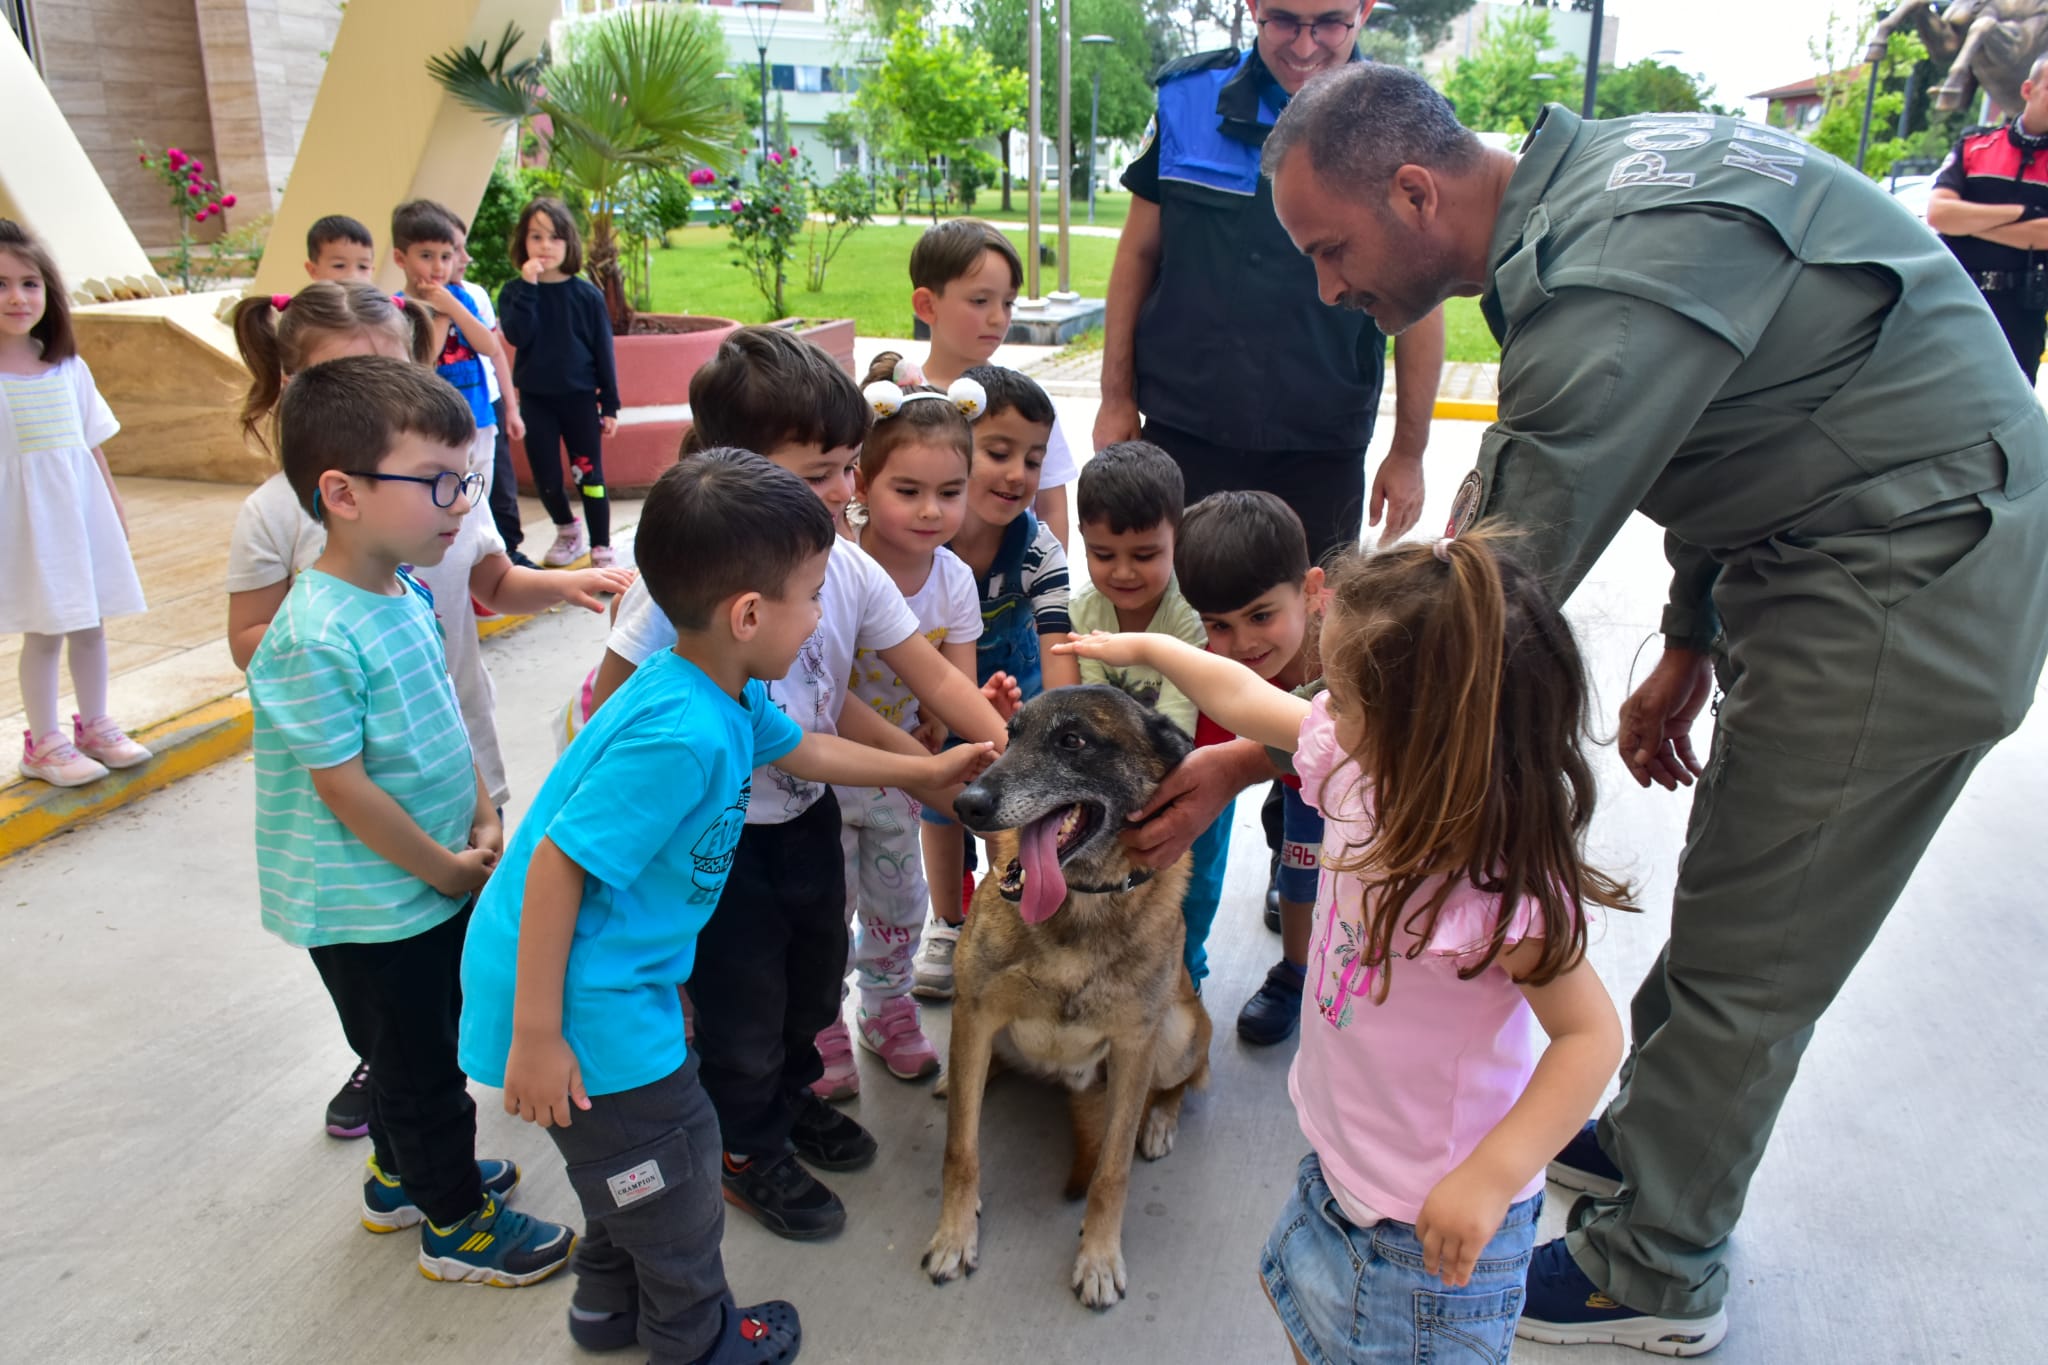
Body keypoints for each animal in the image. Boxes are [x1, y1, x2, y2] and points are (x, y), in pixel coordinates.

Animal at [921, 687, 1204, 1309]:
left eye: (1072, 741)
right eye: (1011, 736)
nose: (966, 804)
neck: (1080, 904)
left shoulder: (1135, 1046)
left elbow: (1112, 1172)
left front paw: (1098, 1257)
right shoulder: (976, 1011)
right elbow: (960, 1148)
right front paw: (955, 1234)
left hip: (1178, 1032)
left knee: (1186, 1083)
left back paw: (1160, 1121)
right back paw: (963, 1078)